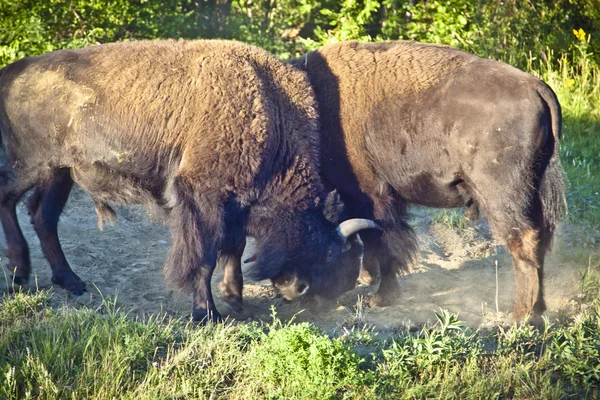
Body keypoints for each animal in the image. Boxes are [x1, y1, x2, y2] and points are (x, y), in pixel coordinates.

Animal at [0, 39, 380, 322]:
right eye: (329, 253)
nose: (298, 290)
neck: (267, 106)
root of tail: (12, 72)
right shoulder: (202, 198)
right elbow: (205, 257)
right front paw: (207, 314)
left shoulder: (234, 202)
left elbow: (232, 248)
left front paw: (235, 300)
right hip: (31, 165)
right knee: (9, 200)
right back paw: (19, 274)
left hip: (59, 173)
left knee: (43, 216)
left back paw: (72, 282)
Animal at [286, 40, 568, 320]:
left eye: (323, 251)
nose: (294, 291)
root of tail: (536, 86)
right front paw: (369, 278)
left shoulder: (371, 195)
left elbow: (384, 241)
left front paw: (381, 298)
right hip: (534, 190)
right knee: (540, 239)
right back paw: (538, 309)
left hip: (501, 195)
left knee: (523, 240)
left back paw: (521, 316)